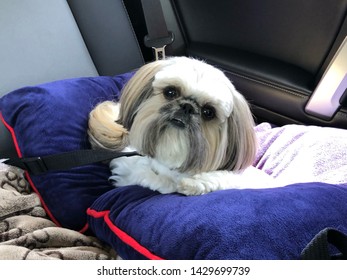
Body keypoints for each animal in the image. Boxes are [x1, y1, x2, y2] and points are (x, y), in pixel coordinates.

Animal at [87, 55, 278, 194]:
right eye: (170, 92)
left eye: (208, 112)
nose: (187, 106)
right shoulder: (127, 164)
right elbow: (143, 173)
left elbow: (220, 178)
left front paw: (191, 184)